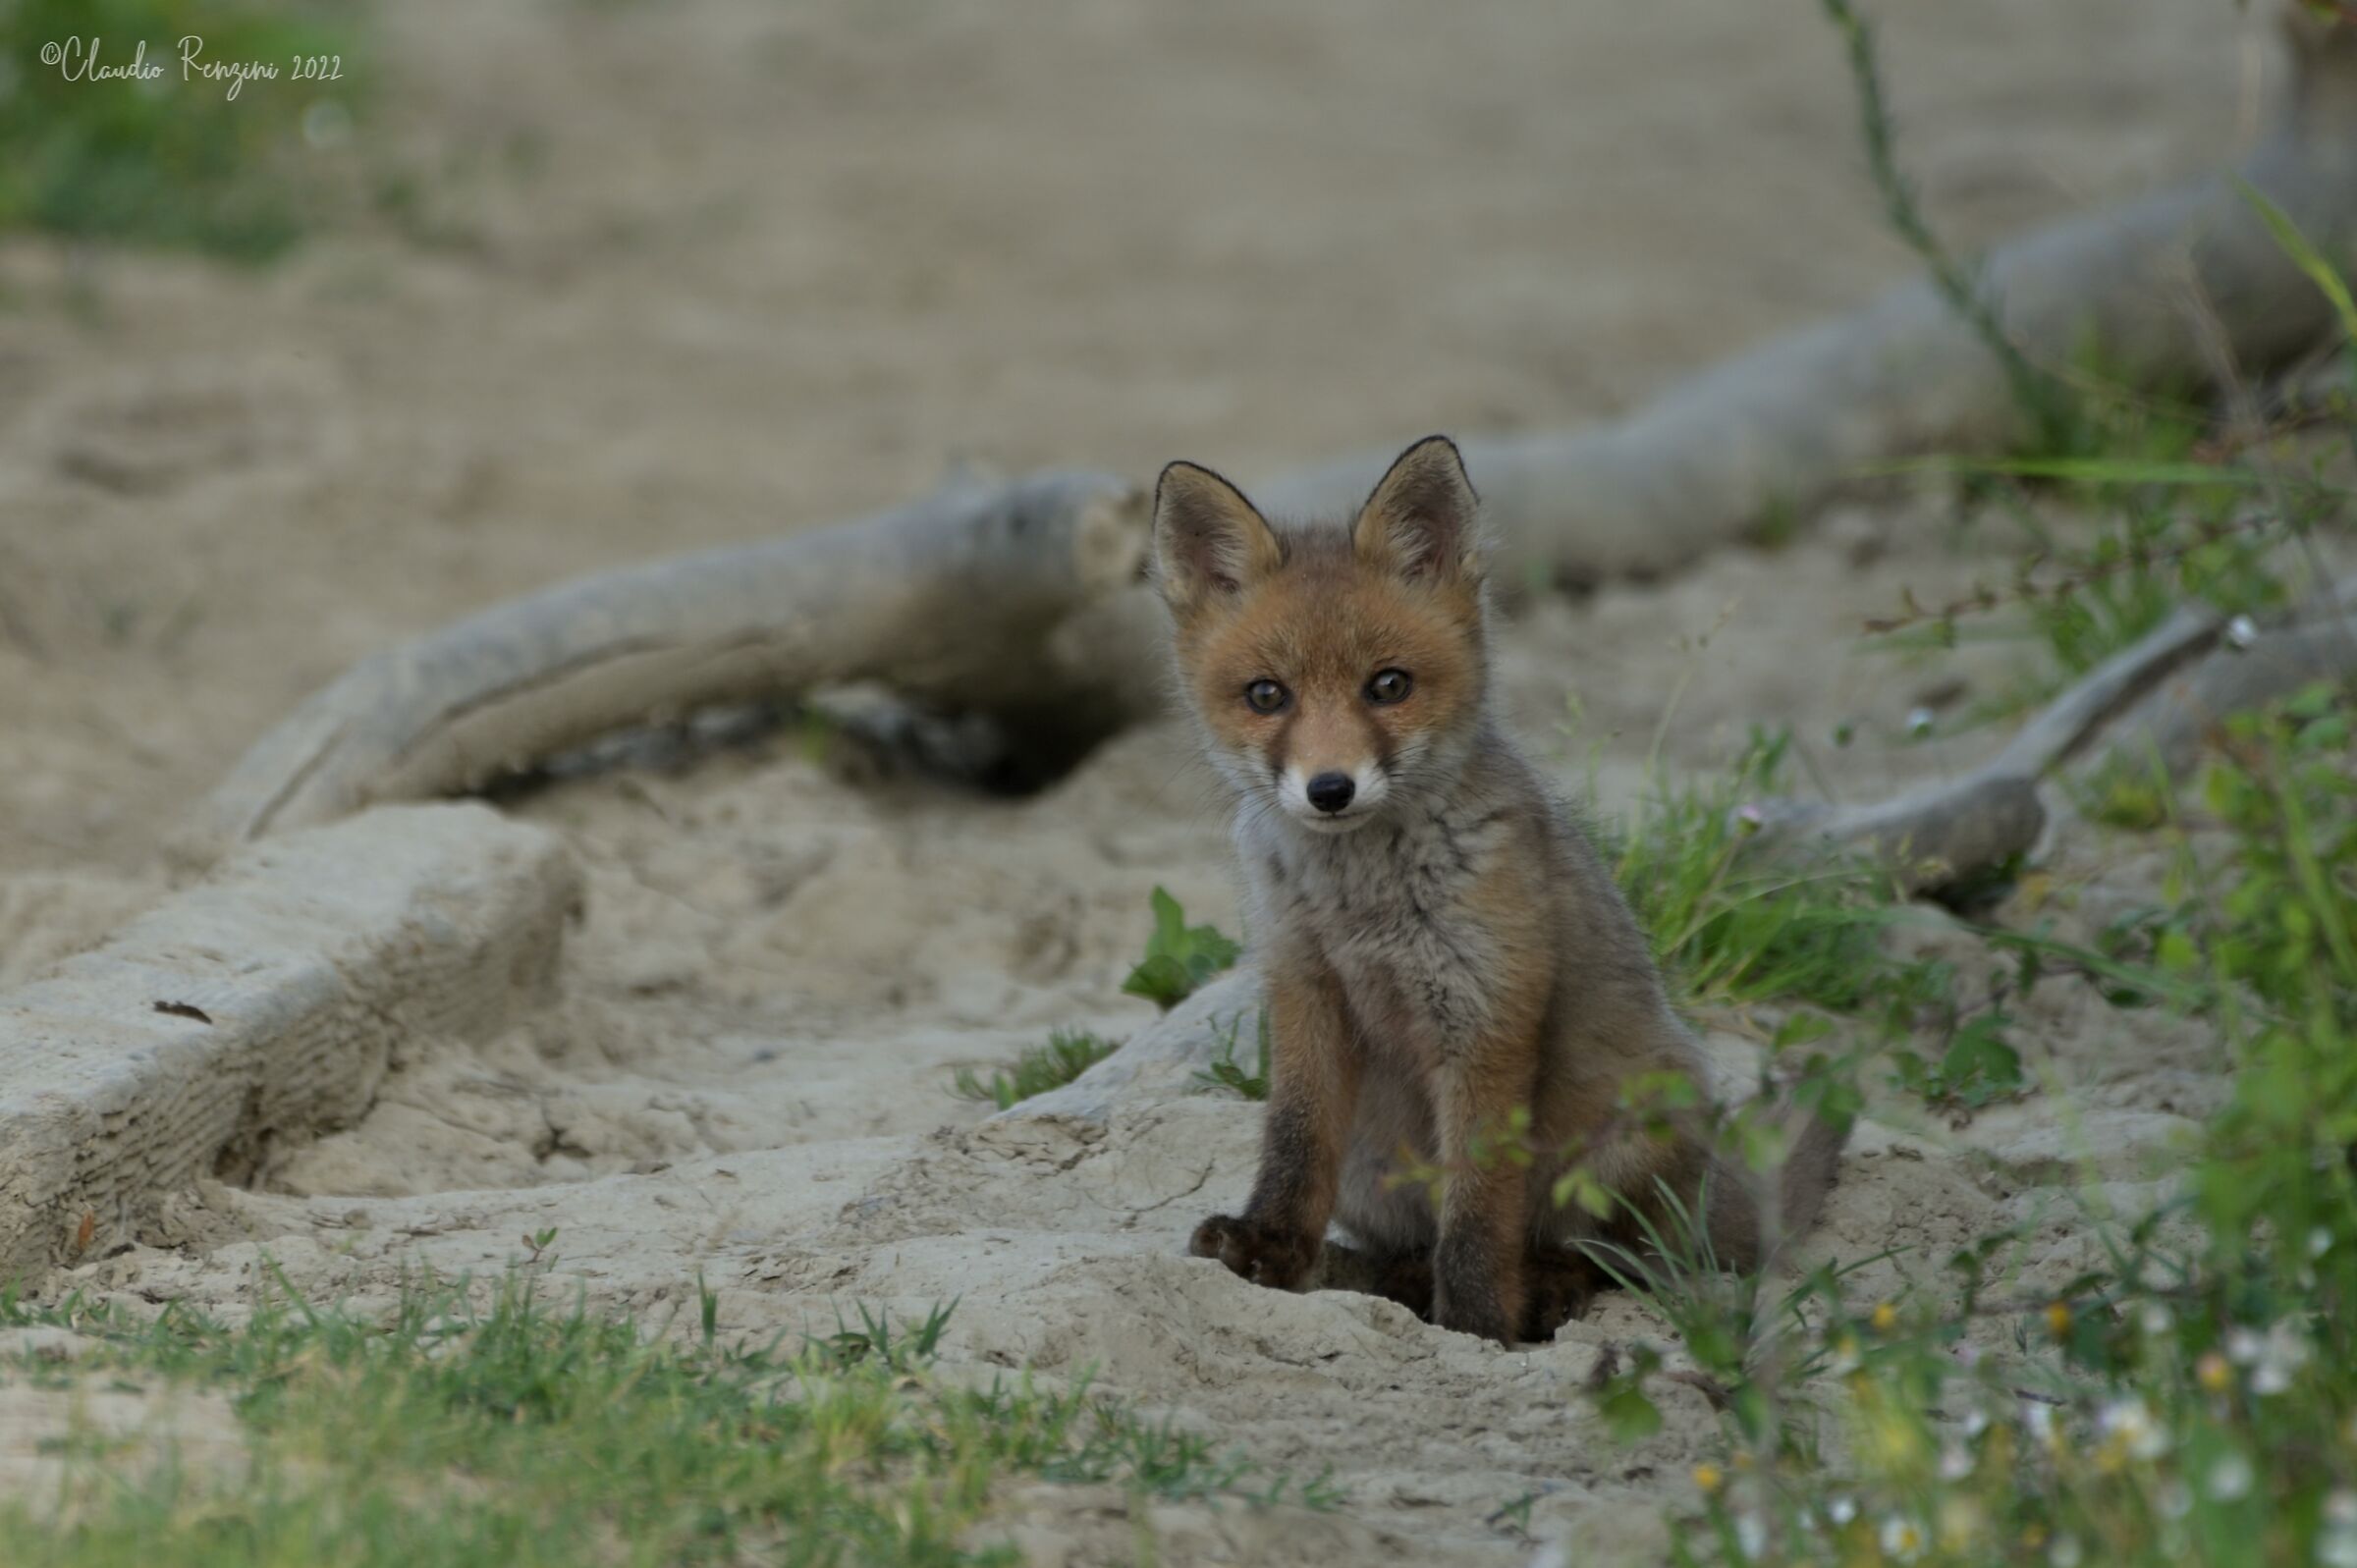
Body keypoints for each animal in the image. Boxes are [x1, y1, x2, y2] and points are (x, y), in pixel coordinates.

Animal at [1152, 434, 1846, 1344]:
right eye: (1268, 695)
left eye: (1388, 685)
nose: (1330, 789)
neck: (1362, 908)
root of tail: (1712, 1185)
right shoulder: (1302, 986)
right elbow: (1294, 1143)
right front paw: (1272, 1247)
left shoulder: (1486, 1012)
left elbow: (1481, 1205)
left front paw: (1478, 1321)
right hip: (1372, 1169)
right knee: (1415, 1239)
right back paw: (1390, 1272)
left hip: (1619, 1153)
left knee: (1611, 1258)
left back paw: (1541, 1289)